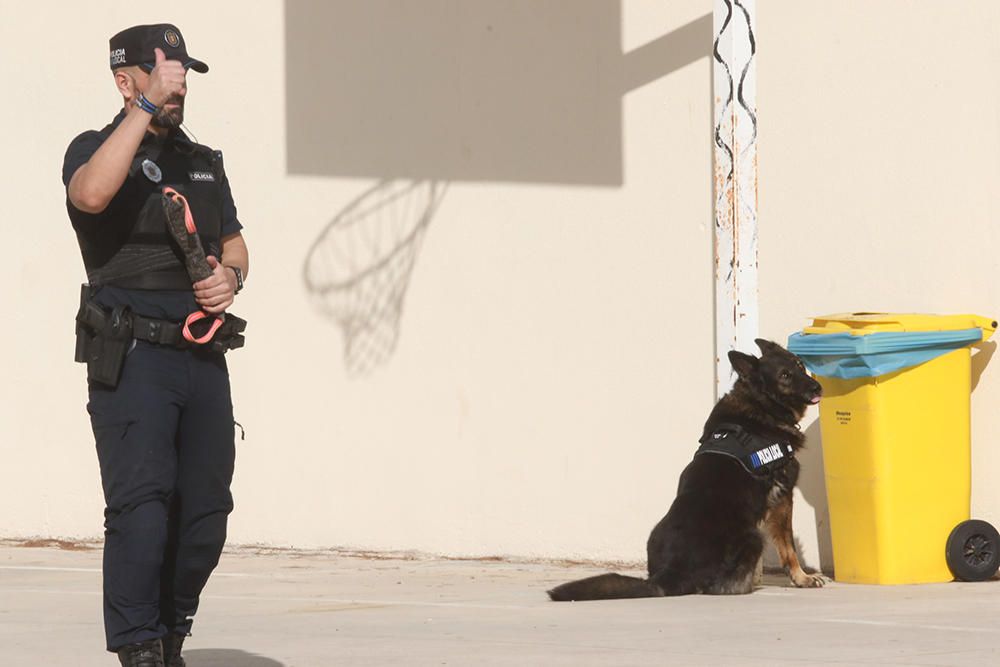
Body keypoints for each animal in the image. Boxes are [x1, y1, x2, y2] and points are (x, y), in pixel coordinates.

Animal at [552, 340, 824, 600]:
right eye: (784, 376)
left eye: (800, 365)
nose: (817, 388)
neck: (761, 404)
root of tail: (670, 573)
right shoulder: (783, 498)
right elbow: (788, 546)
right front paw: (802, 578)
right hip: (753, 536)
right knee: (722, 588)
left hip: (655, 531)